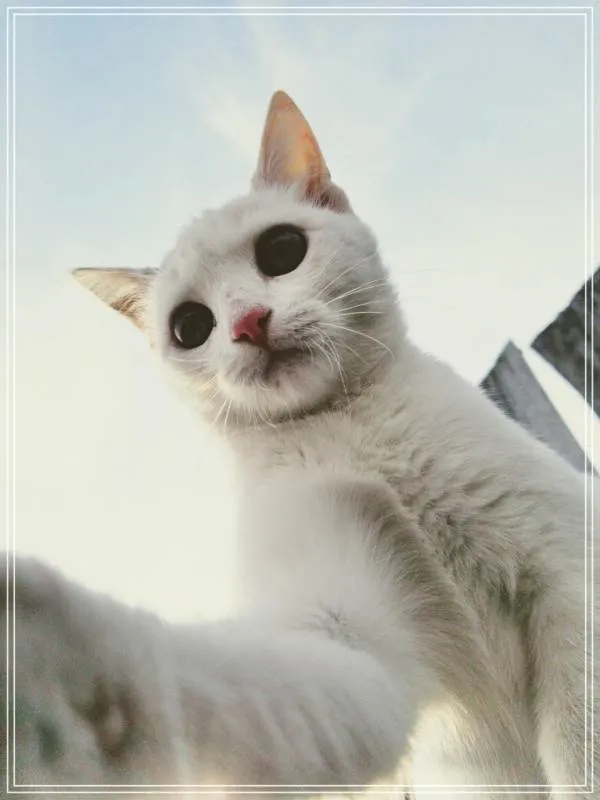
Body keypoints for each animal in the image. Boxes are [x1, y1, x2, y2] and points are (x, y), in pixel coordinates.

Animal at [2, 90, 597, 799]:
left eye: (282, 248)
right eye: (190, 326)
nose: (247, 322)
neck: (349, 429)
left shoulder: (570, 573)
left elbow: (582, 743)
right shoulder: (347, 631)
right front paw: (50, 663)